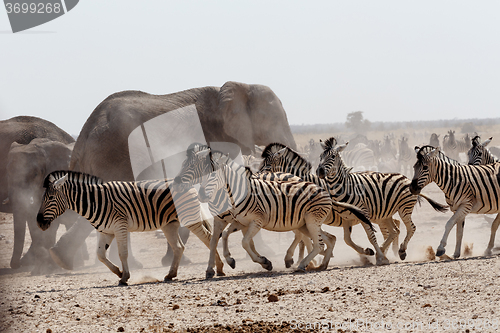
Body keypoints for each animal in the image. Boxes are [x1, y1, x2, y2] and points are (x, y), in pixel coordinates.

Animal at [38, 170, 226, 284]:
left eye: (51, 198)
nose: (39, 222)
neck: (95, 201)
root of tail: (189, 185)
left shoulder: (119, 226)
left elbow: (122, 253)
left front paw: (125, 277)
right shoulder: (105, 231)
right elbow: (100, 255)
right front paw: (118, 272)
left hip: (189, 218)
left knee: (209, 238)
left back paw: (216, 269)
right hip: (169, 224)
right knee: (179, 247)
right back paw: (171, 274)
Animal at [258, 142, 390, 264]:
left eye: (268, 165)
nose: (257, 176)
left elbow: (306, 237)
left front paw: (308, 259)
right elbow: (306, 237)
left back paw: (383, 254)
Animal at [316, 137, 450, 260]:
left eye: (333, 156)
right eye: (320, 156)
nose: (320, 171)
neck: (345, 187)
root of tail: (407, 179)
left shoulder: (363, 214)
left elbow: (370, 236)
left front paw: (379, 256)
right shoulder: (346, 218)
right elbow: (347, 240)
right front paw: (368, 251)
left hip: (404, 208)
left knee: (411, 228)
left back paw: (400, 251)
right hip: (386, 212)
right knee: (394, 231)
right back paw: (383, 249)